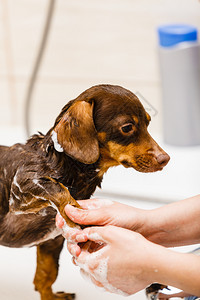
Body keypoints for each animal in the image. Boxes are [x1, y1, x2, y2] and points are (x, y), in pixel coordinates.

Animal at [0, 85, 169, 300]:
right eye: (127, 127)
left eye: (148, 122)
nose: (165, 159)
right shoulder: (21, 190)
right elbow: (58, 189)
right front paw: (75, 212)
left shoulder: (51, 243)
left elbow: (45, 277)